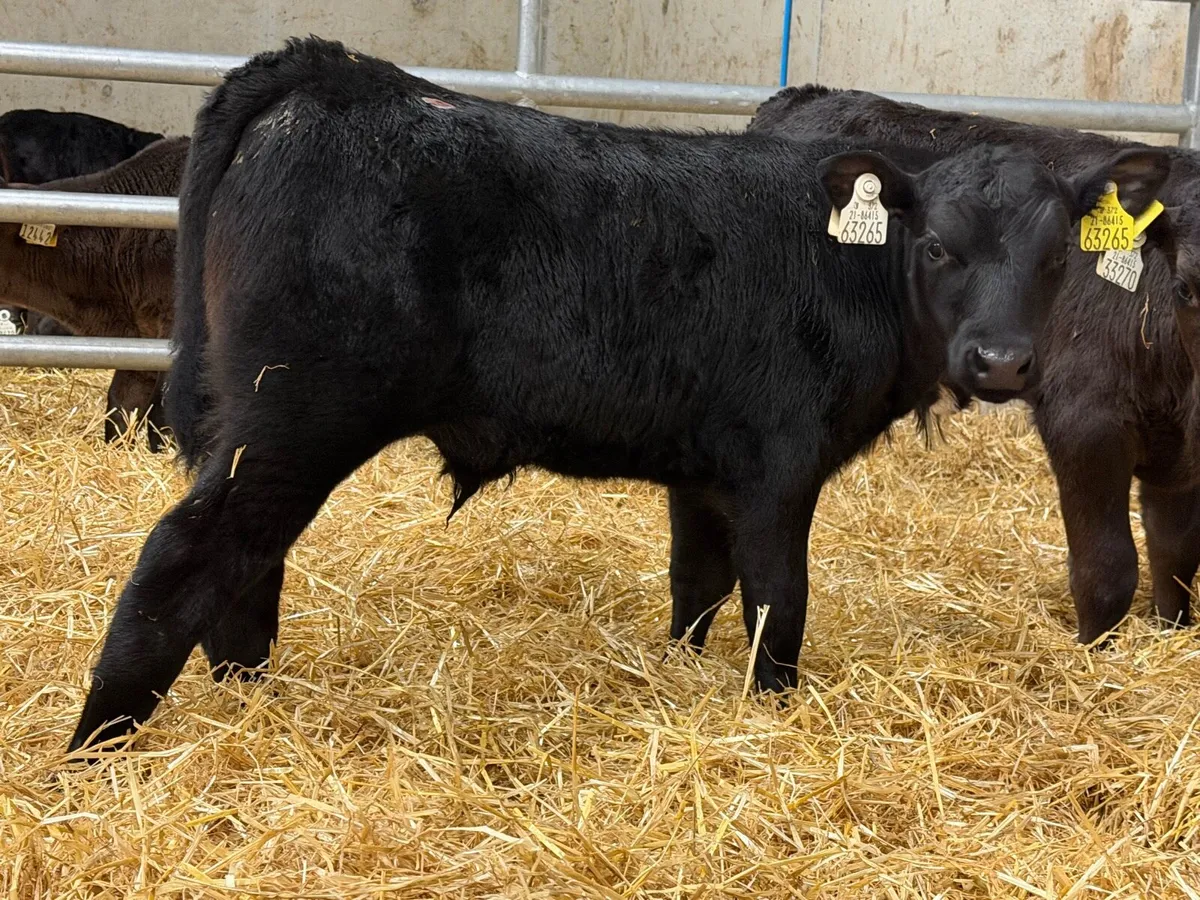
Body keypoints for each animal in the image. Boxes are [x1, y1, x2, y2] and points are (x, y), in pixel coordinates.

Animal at [746, 84, 1200, 647]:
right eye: (1186, 287)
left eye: (1058, 253)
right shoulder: (1085, 423)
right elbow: (1107, 570)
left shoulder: (1178, 463)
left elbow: (1174, 557)